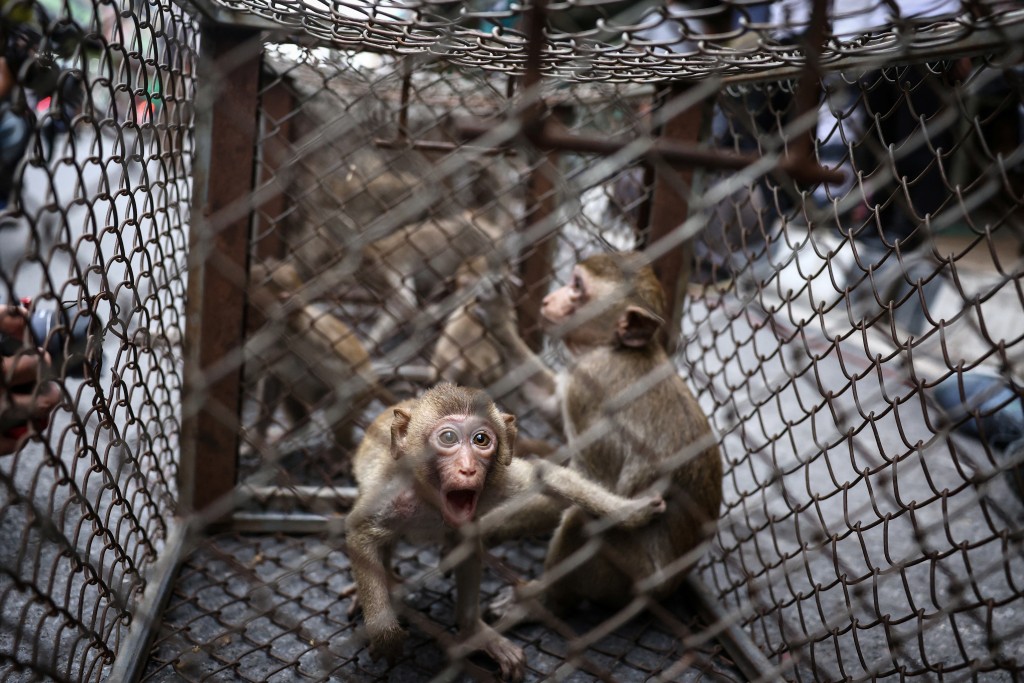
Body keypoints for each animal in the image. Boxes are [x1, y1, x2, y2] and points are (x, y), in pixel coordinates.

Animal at [344, 385, 663, 679]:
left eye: (481, 440)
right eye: (448, 438)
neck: (432, 502)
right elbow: (360, 534)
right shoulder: (390, 494)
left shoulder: (497, 483)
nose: (468, 469)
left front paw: (630, 511)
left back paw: (472, 631)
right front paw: (385, 632)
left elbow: (548, 476)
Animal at [477, 250, 720, 614]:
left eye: (577, 286)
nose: (549, 299)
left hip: (631, 579)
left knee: (582, 521)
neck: (618, 348)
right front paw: (498, 321)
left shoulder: (587, 386)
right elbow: (552, 404)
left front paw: (484, 528)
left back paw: (543, 601)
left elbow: (590, 487)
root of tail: (669, 589)